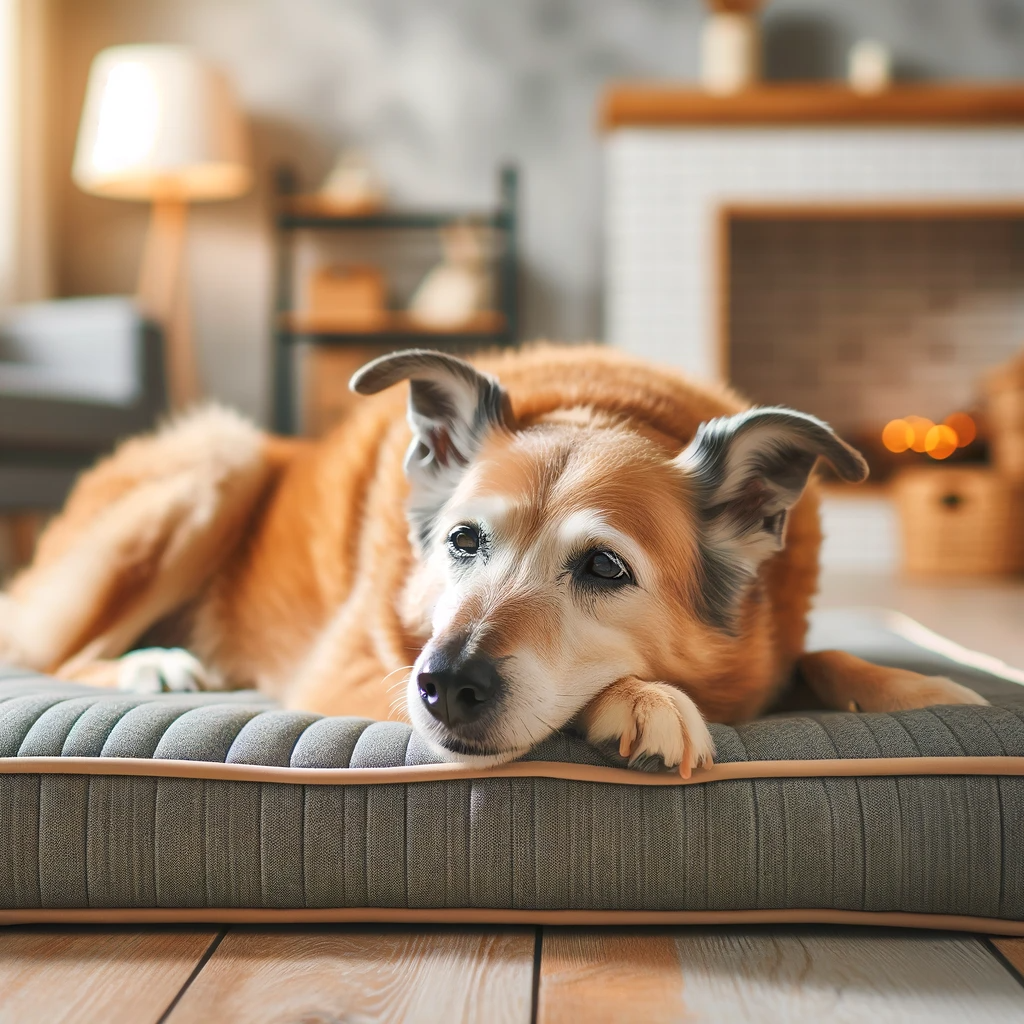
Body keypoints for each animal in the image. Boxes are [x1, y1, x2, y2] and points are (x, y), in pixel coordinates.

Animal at [0, 339, 983, 770]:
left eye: (604, 569)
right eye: (465, 541)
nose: (445, 685)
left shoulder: (778, 645)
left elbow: (822, 654)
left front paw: (924, 689)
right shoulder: (351, 671)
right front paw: (644, 700)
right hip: (218, 462)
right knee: (55, 652)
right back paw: (155, 666)